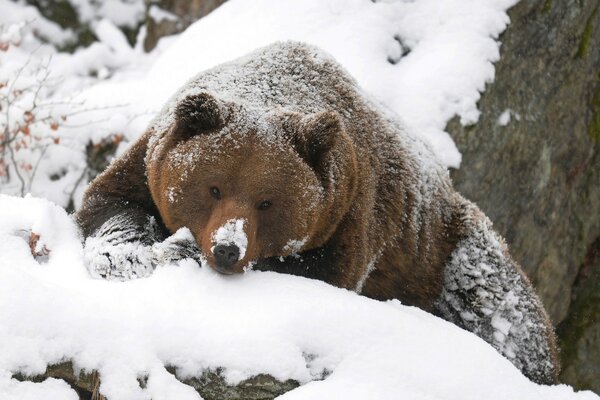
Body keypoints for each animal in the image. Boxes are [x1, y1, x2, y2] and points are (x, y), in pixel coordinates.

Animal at [77, 40, 560, 384]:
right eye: (213, 187)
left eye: (267, 201)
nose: (227, 249)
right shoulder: (149, 161)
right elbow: (110, 202)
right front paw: (124, 255)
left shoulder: (350, 213)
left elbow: (319, 273)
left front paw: (180, 251)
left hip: (443, 251)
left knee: (502, 310)